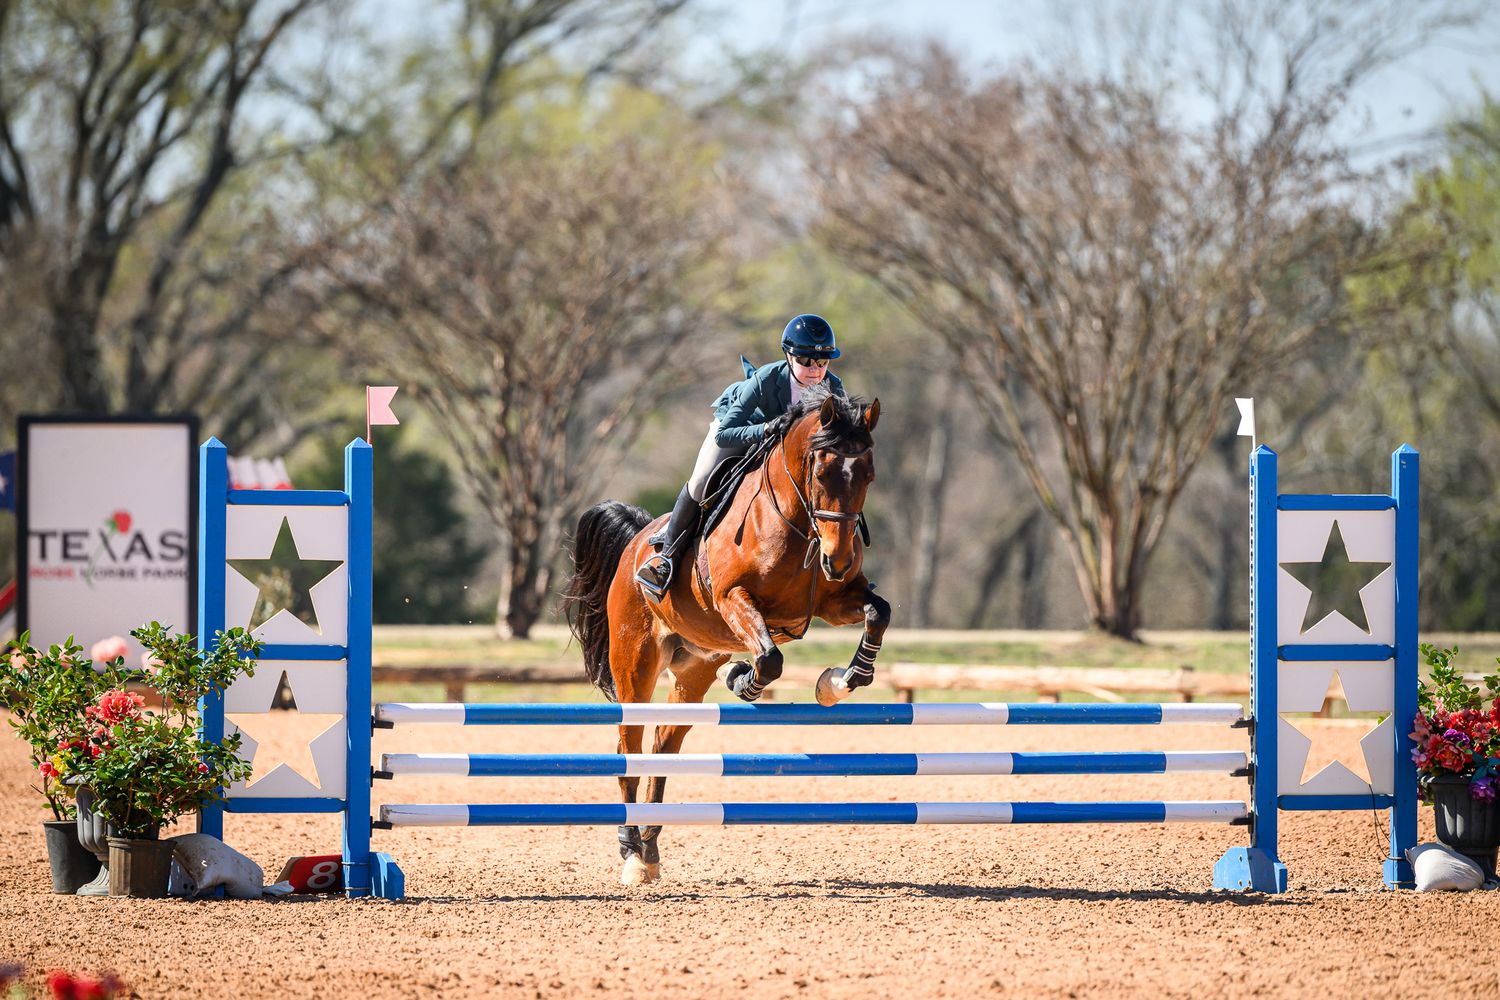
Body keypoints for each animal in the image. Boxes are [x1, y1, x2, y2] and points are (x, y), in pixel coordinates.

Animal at [563, 385, 890, 885]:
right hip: (635, 664)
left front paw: (840, 682)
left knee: (663, 743)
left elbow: (878, 613)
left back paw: (651, 847)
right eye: (822, 471)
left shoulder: (834, 602)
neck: (798, 524)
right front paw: (743, 680)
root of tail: (637, 541)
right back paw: (632, 853)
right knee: (629, 746)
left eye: (868, 475)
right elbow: (770, 660)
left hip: (694, 667)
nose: (837, 559)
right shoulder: (734, 598)